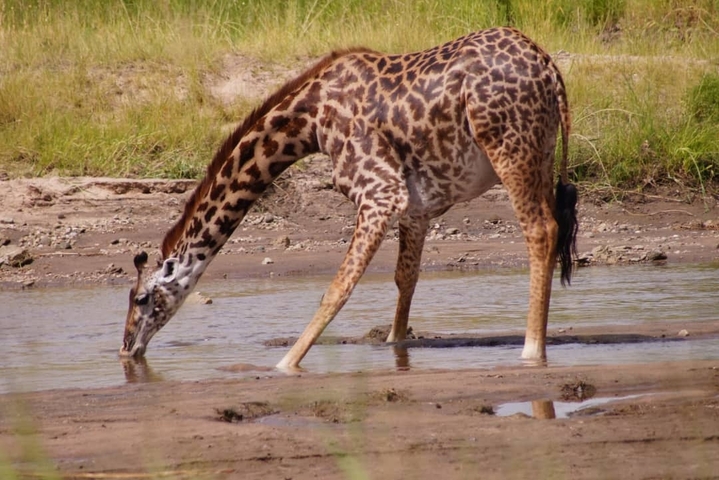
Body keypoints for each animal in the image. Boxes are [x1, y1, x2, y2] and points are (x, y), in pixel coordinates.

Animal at [120, 26, 578, 370]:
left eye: (141, 298)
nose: (126, 349)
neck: (310, 121)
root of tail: (550, 68)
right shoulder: (416, 207)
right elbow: (405, 280)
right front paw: (394, 347)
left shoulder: (379, 192)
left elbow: (337, 288)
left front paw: (286, 364)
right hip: (539, 153)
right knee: (552, 228)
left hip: (509, 148)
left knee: (541, 231)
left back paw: (532, 351)